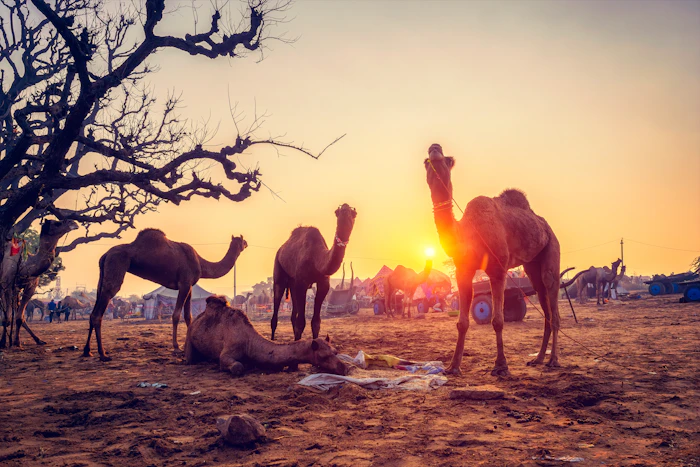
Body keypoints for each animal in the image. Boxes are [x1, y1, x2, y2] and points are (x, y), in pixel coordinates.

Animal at [0, 219, 78, 348]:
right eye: (57, 223)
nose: (74, 223)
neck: (25, 265)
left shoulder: (29, 287)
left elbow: (19, 317)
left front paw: (17, 342)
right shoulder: (6, 285)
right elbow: (6, 317)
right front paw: (3, 342)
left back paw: (37, 340)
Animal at [83, 229, 247, 361]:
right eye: (241, 240)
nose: (246, 243)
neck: (201, 263)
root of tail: (104, 256)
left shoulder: (190, 286)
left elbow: (188, 316)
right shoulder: (184, 283)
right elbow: (176, 315)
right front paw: (176, 346)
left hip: (102, 278)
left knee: (92, 312)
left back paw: (87, 351)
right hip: (115, 265)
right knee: (99, 311)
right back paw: (103, 354)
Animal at [185, 295, 348, 376]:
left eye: (336, 352)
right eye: (323, 356)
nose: (344, 368)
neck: (249, 342)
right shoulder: (227, 352)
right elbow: (237, 366)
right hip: (189, 336)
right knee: (190, 358)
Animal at [271, 204, 357, 341]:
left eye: (354, 214)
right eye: (337, 212)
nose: (345, 209)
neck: (316, 258)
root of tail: (281, 249)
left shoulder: (324, 283)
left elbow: (316, 322)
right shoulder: (302, 282)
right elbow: (301, 322)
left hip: (293, 282)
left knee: (293, 315)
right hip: (279, 270)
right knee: (276, 309)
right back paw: (272, 339)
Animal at [424, 143, 568, 376]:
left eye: (447, 159)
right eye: (426, 162)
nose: (434, 147)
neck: (468, 232)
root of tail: (546, 227)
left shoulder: (498, 269)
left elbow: (498, 320)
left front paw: (501, 365)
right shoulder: (463, 270)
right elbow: (462, 322)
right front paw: (453, 366)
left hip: (552, 248)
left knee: (552, 297)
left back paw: (553, 360)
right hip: (531, 265)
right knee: (542, 298)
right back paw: (537, 359)